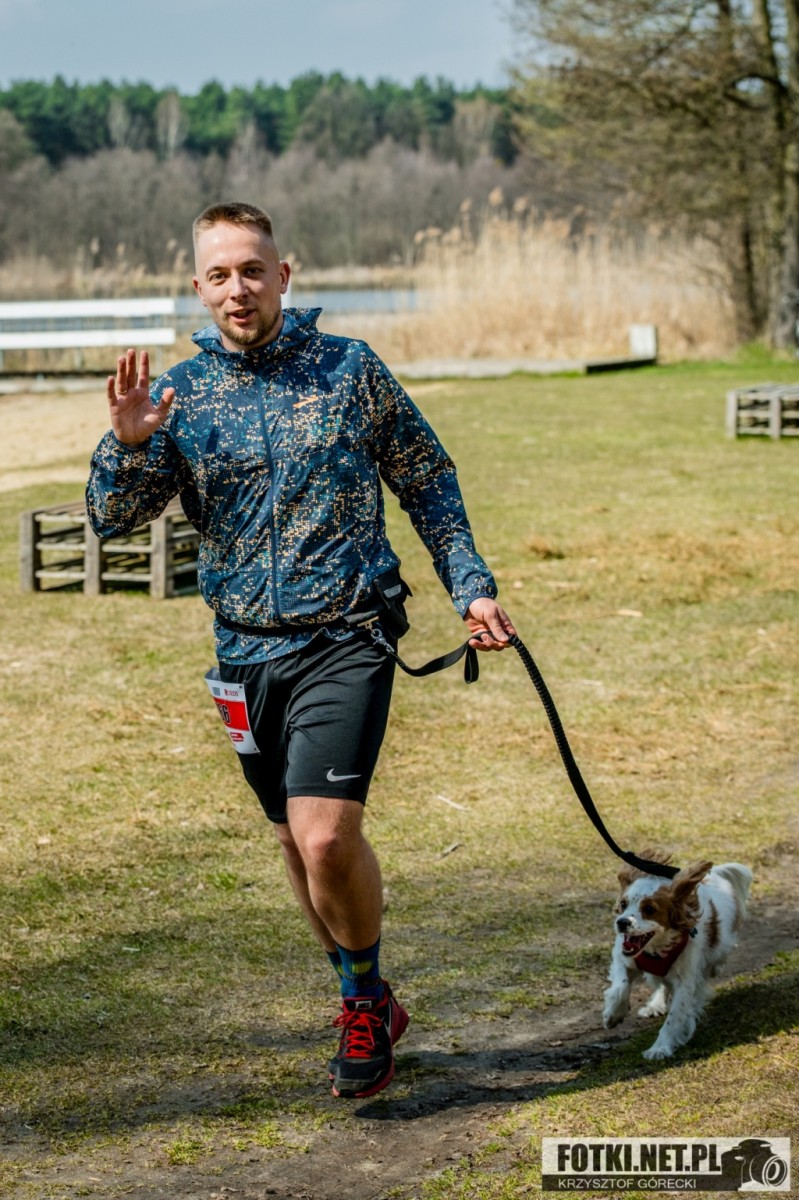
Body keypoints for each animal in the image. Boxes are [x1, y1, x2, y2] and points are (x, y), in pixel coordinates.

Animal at [602, 852, 752, 1060]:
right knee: (661, 984)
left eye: (649, 909)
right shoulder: (622, 956)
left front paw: (659, 1048)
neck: (657, 948)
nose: (622, 922)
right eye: (623, 904)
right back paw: (655, 1004)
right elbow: (620, 987)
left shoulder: (685, 982)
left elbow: (674, 1018)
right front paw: (613, 1015)